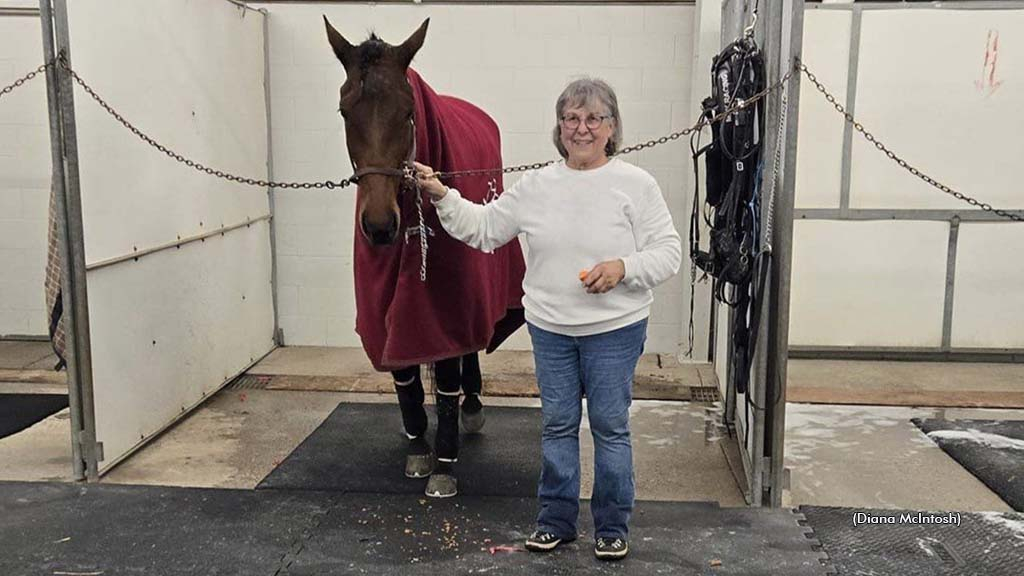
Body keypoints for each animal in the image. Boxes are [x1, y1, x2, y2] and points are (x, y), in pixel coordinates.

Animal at [321, 16, 528, 494]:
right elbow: (405, 374)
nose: (380, 225)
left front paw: (444, 465)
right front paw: (417, 443)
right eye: (344, 112)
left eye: (408, 112)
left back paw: (473, 408)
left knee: (470, 347)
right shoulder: (382, 310)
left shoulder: (447, 305)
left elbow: (448, 375)